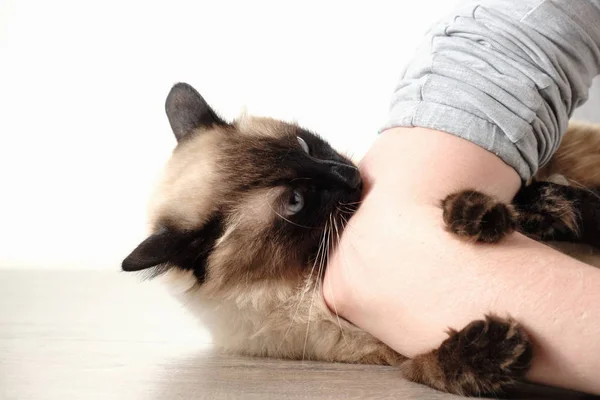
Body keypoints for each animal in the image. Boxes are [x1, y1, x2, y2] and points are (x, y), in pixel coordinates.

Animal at [120, 82, 600, 396]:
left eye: (305, 146)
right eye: (296, 201)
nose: (349, 175)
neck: (302, 282)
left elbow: (545, 203)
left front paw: (484, 215)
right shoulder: (386, 348)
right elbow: (424, 367)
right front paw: (493, 350)